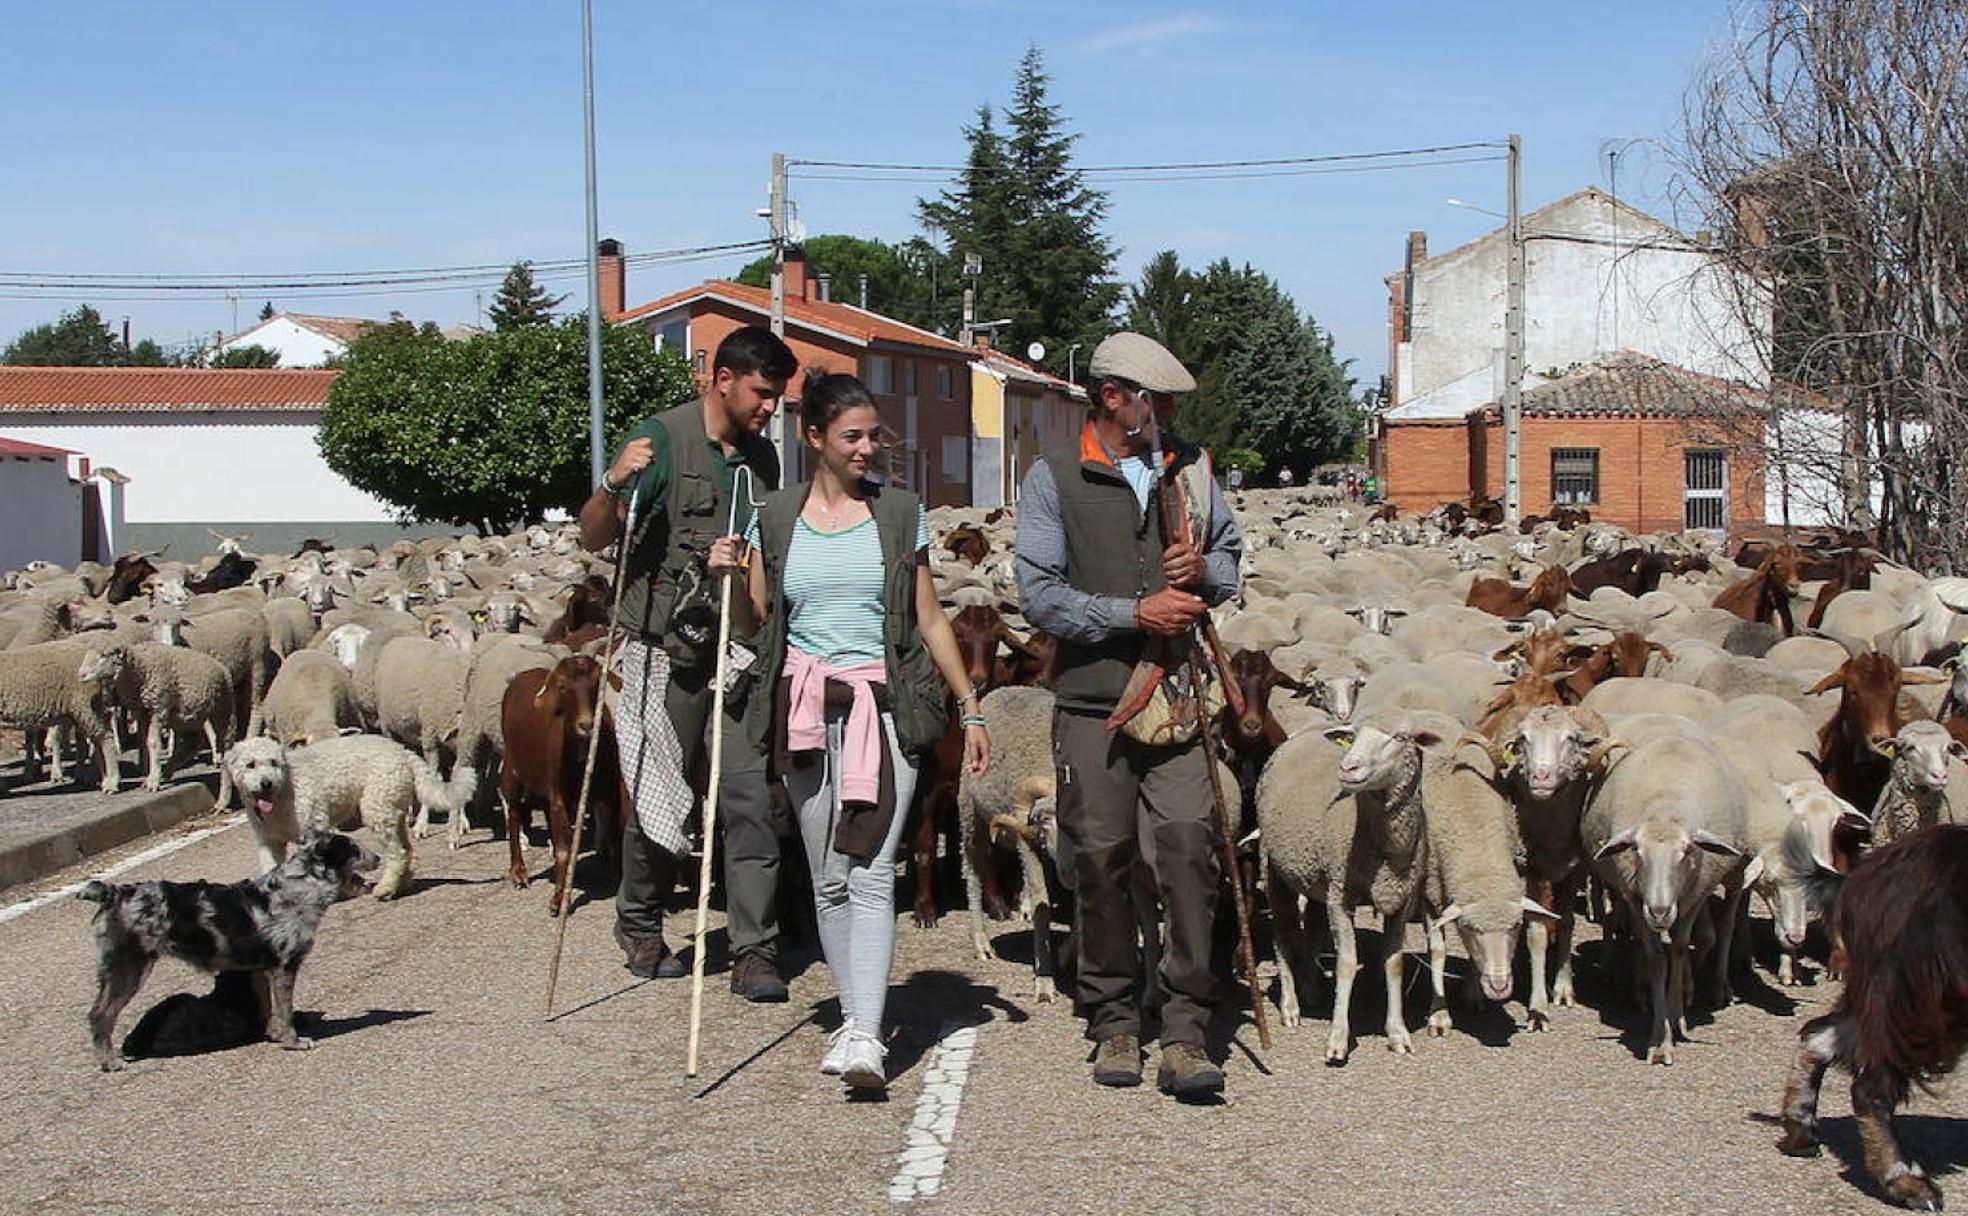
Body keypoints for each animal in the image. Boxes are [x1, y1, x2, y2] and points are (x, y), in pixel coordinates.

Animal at [77, 633, 233, 794]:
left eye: (103, 655)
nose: (81, 674)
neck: (140, 670)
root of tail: (220, 665)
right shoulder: (143, 711)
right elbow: (143, 741)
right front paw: (148, 775)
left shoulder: (158, 709)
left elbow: (153, 742)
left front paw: (153, 781)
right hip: (187, 717)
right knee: (194, 742)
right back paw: (168, 771)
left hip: (222, 711)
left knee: (223, 740)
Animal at [224, 728, 480, 889]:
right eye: (250, 765)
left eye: (274, 763)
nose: (266, 782)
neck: (284, 788)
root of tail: (403, 751)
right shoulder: (270, 841)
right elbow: (270, 866)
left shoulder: (316, 825)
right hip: (391, 808)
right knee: (405, 850)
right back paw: (401, 883)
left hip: (377, 809)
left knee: (397, 852)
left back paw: (386, 888)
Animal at [1582, 728, 1755, 1062]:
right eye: (1636, 850)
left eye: (1687, 850)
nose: (1660, 911)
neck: (1665, 808)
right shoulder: (1635, 898)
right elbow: (1656, 958)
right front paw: (1659, 1038)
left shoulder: (1694, 896)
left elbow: (1679, 949)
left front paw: (1676, 1018)